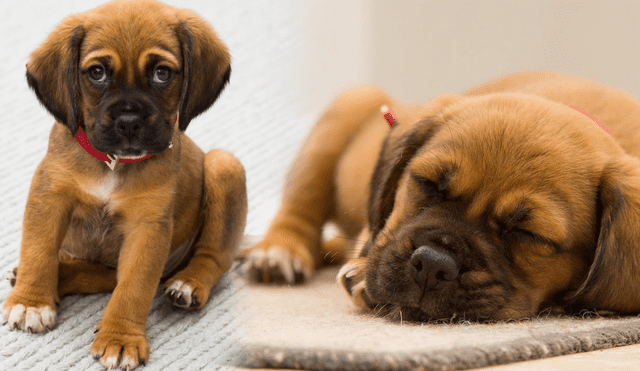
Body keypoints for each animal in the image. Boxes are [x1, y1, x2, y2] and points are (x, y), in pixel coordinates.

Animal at [1, 1, 248, 370]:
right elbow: (38, 250)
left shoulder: (147, 228)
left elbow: (133, 287)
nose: (129, 121)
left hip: (224, 166)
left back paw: (189, 284)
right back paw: (56, 276)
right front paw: (31, 301)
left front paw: (120, 339)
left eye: (162, 73)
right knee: (103, 274)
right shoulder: (49, 197)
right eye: (97, 73)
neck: (112, 164)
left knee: (213, 257)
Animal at [236, 72, 640, 322]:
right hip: (347, 110)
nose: (432, 264)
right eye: (427, 184)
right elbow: (377, 233)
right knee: (300, 207)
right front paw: (364, 271)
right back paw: (279, 251)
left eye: (529, 234)